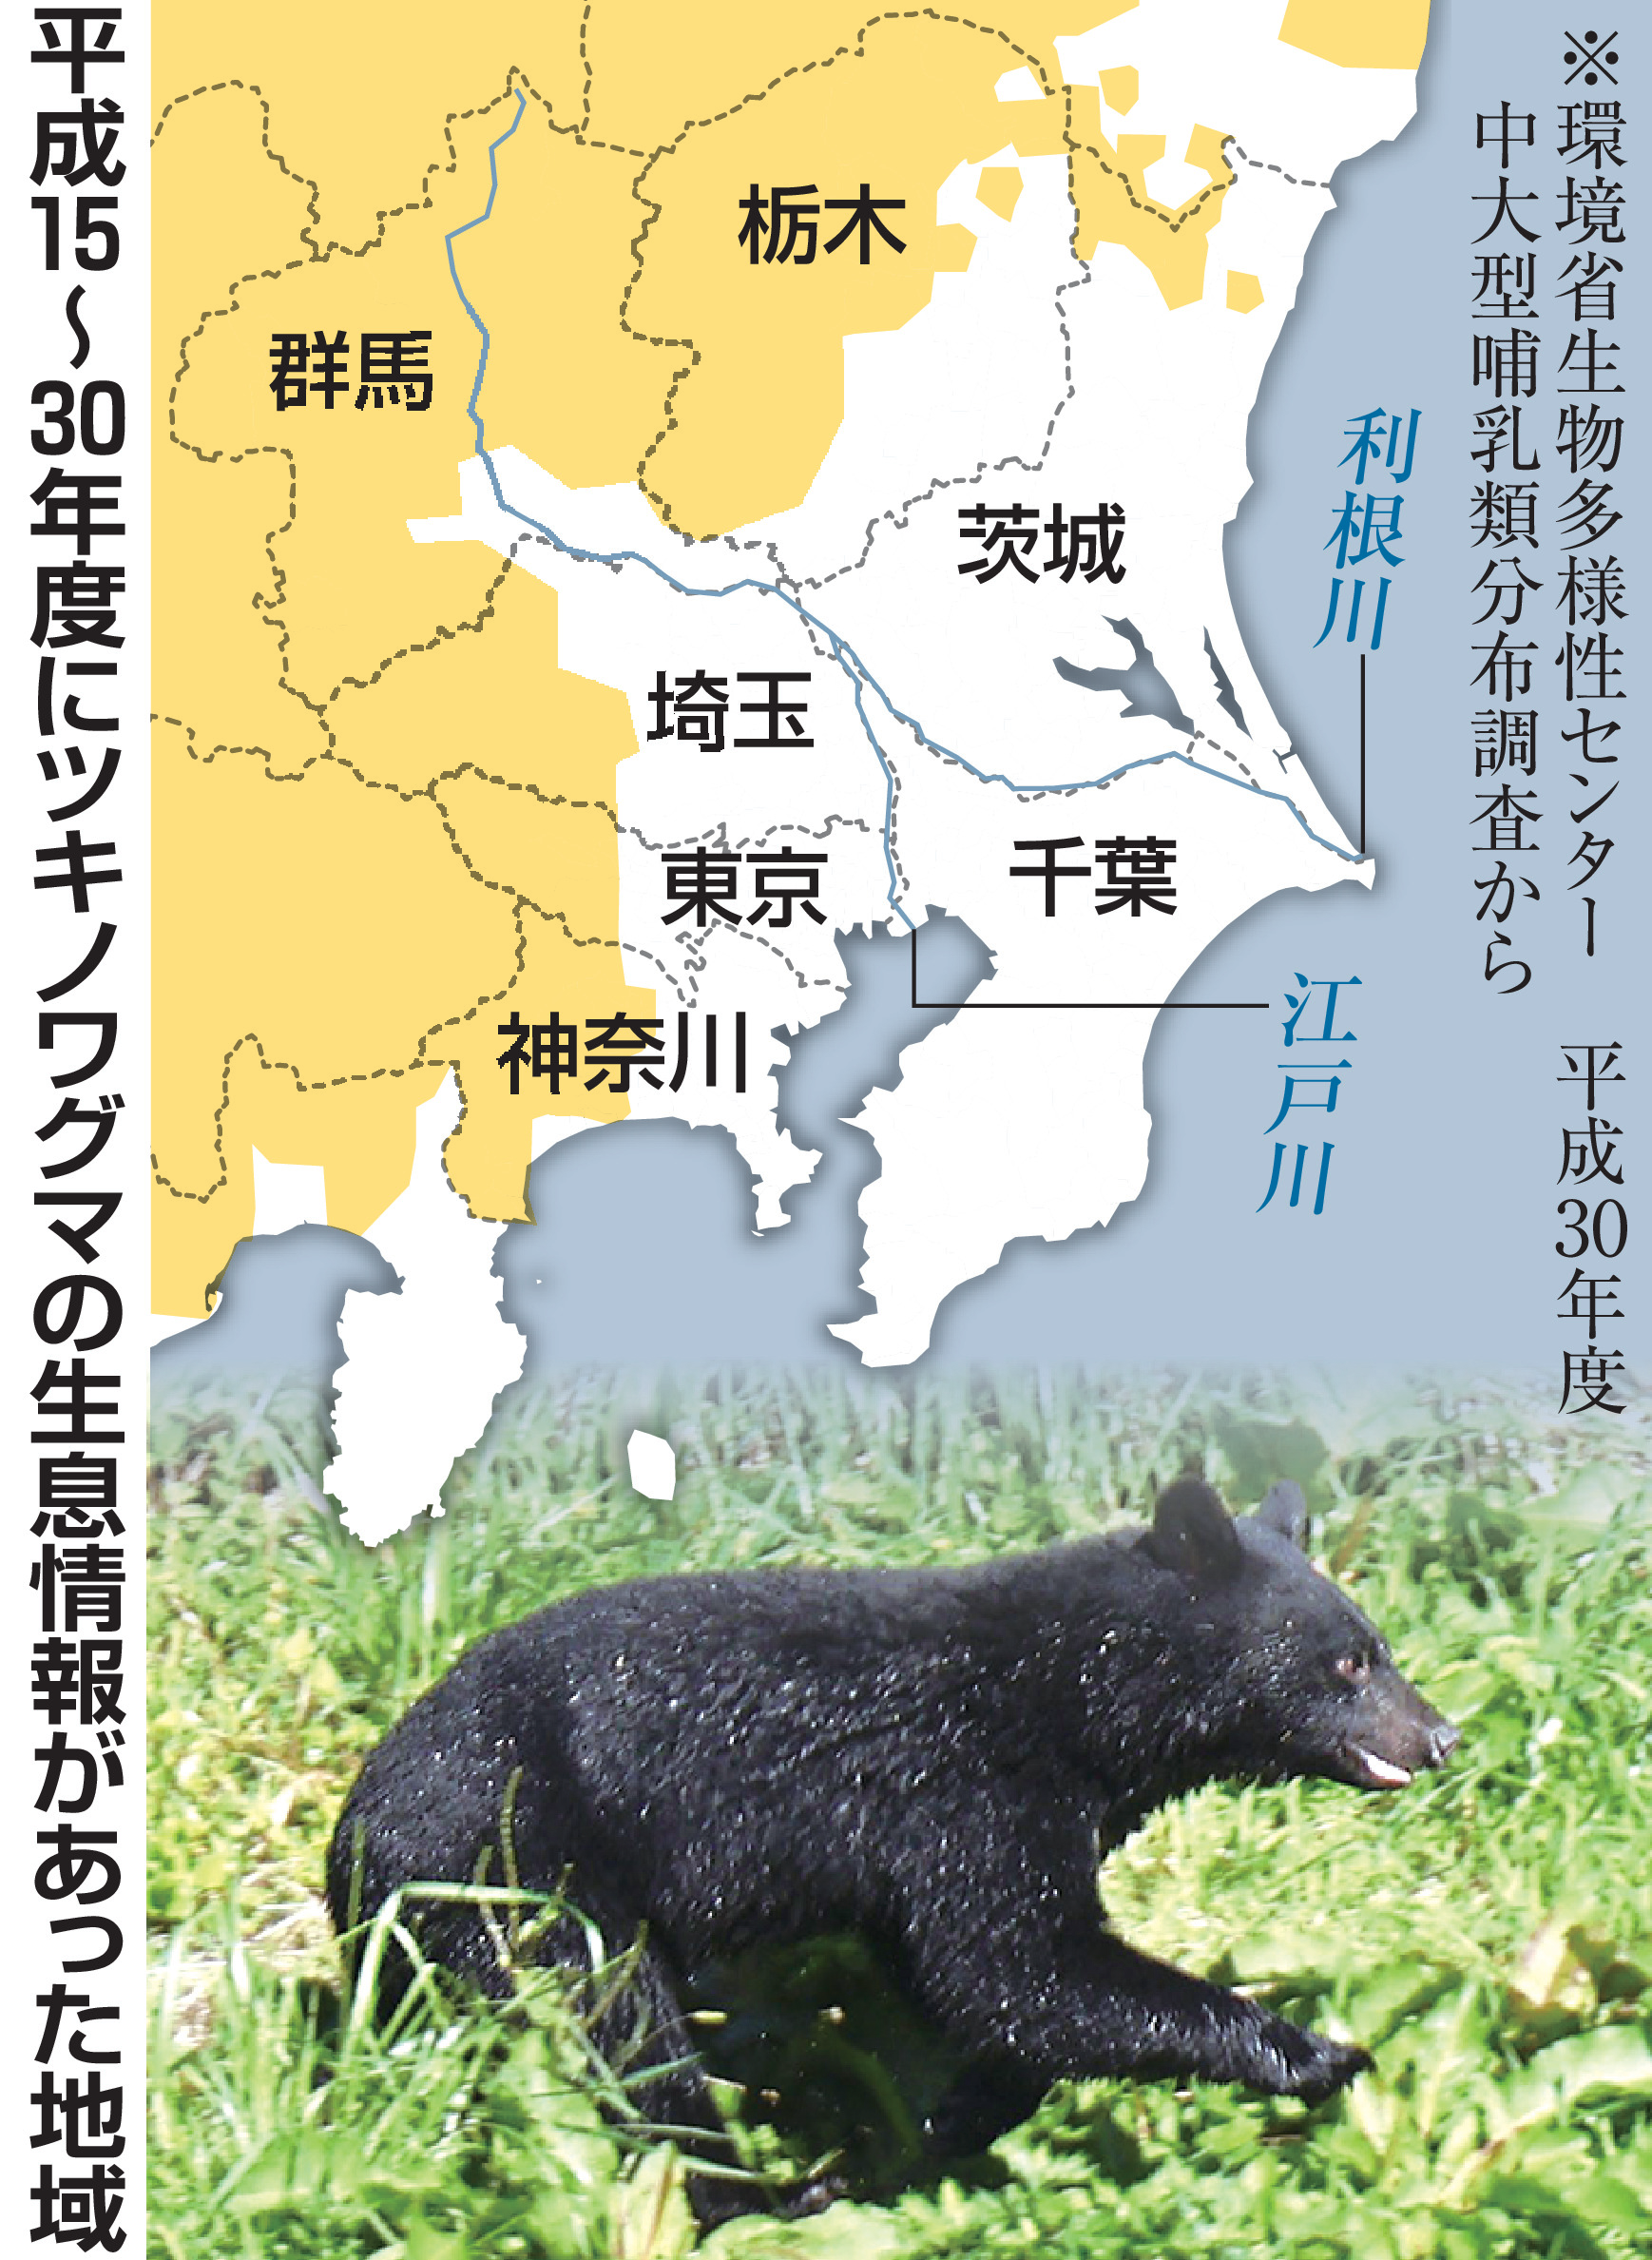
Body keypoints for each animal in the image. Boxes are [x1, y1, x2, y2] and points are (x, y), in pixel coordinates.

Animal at [327, 1477, 1459, 2221]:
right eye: (1348, 1661)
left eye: (1378, 1646)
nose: (1441, 1734)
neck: (1073, 1695)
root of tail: (350, 1845)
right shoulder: (965, 1788)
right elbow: (1015, 1968)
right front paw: (1317, 2051)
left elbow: (969, 1989)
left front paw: (934, 2129)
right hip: (514, 1866)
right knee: (620, 2024)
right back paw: (760, 2194)